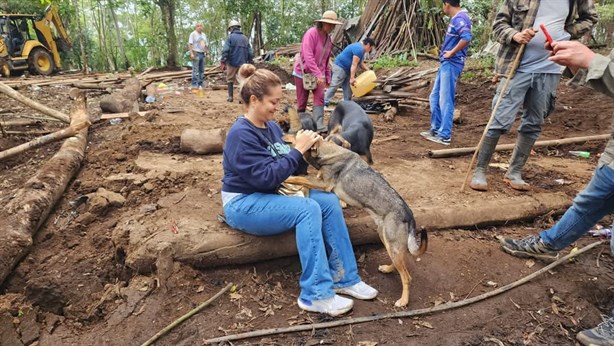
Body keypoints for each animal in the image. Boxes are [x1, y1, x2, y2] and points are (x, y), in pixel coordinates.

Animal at [286, 109, 430, 306]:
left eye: (296, 135)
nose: (282, 135)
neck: (330, 151)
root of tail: (408, 214)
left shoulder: (324, 184)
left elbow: (299, 178)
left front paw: (287, 178)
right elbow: (305, 181)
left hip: (391, 243)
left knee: (407, 277)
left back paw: (403, 300)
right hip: (386, 239)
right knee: (402, 261)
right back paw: (388, 268)